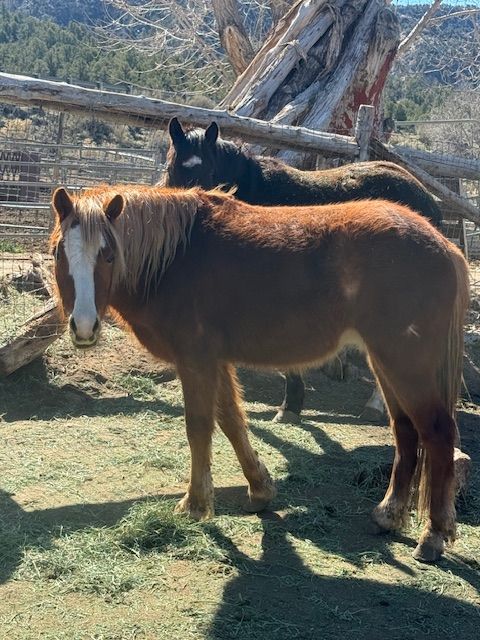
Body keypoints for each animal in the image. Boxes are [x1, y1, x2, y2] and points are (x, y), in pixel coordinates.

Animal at [50, 183, 468, 563]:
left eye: (107, 255)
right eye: (59, 252)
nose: (84, 327)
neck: (175, 259)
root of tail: (444, 246)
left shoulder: (196, 360)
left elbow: (199, 427)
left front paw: (195, 505)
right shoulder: (215, 361)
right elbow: (232, 422)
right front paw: (260, 489)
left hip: (406, 362)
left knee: (437, 433)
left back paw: (433, 536)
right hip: (386, 362)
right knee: (405, 431)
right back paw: (389, 515)